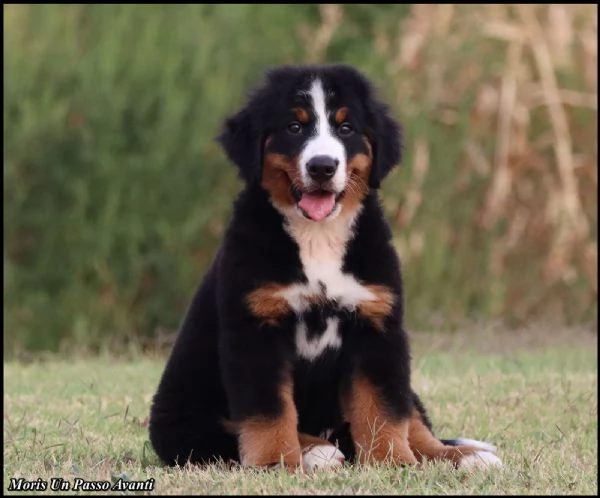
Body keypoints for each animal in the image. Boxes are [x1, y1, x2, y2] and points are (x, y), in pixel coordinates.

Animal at [149, 64, 502, 472]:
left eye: (345, 128)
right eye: (294, 127)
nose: (322, 166)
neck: (318, 237)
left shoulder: (376, 326)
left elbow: (383, 409)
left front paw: (392, 461)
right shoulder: (256, 328)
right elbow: (270, 411)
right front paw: (276, 462)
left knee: (414, 421)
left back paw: (465, 456)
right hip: (187, 421)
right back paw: (315, 449)